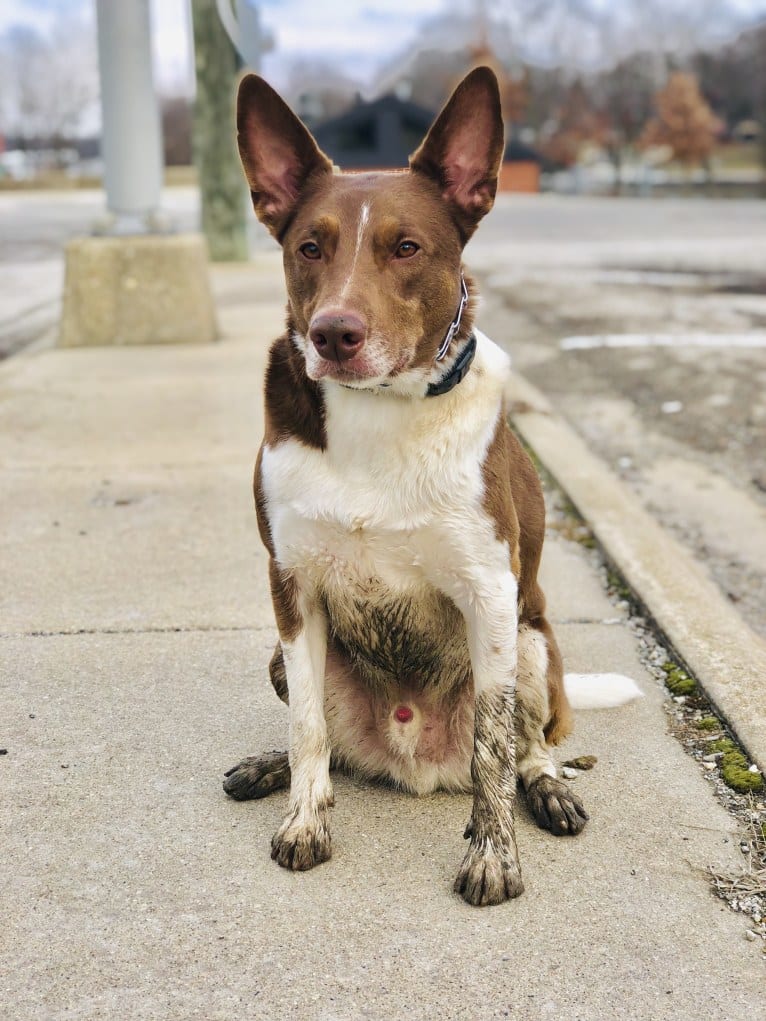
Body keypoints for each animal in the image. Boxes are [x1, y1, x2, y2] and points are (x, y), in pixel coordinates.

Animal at [226, 67, 641, 906]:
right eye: (310, 247)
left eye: (407, 247)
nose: (333, 334)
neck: (378, 413)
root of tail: (414, 764)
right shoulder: (291, 586)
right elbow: (308, 727)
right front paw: (304, 818)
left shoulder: (489, 592)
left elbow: (492, 746)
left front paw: (493, 856)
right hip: (283, 656)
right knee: (331, 741)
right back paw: (273, 768)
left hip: (533, 640)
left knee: (529, 744)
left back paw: (549, 788)